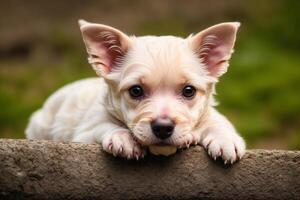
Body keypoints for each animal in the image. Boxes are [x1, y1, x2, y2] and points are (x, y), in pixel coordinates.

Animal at [25, 19, 246, 164]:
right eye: (136, 91)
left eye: (189, 91)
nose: (163, 128)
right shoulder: (84, 133)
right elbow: (105, 126)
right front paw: (123, 138)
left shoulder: (211, 114)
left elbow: (218, 124)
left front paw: (226, 141)